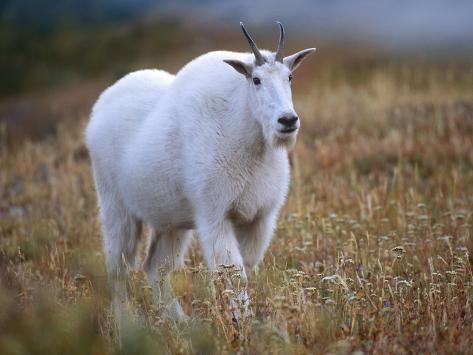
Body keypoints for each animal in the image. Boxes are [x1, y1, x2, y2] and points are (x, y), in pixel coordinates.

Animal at [85, 20, 314, 318]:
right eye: (256, 80)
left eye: (290, 77)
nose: (287, 120)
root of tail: (99, 108)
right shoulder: (214, 214)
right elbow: (233, 272)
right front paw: (240, 322)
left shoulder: (259, 218)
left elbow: (246, 267)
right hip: (116, 205)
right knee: (118, 268)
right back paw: (126, 323)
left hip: (171, 221)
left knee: (156, 267)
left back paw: (180, 322)